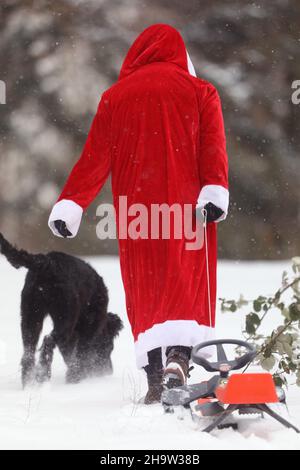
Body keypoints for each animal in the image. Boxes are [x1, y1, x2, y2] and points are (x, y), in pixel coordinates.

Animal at [0, 233, 123, 388]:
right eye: (109, 347)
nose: (108, 372)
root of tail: (46, 263)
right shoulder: (87, 332)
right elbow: (80, 355)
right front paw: (75, 377)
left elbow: (70, 355)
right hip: (65, 318)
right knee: (48, 340)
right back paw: (43, 374)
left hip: (30, 317)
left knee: (28, 352)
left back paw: (29, 383)